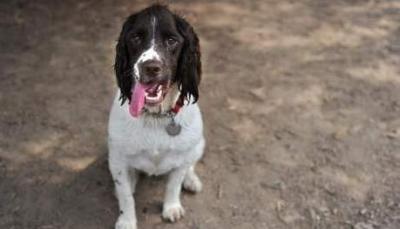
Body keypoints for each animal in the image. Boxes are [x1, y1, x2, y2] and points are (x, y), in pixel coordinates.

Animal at [108, 4, 205, 229]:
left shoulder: (182, 155)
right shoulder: (117, 159)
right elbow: (126, 195)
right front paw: (127, 221)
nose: (150, 67)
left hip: (198, 144)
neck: (155, 116)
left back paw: (192, 180)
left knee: (190, 164)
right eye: (135, 38)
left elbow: (173, 185)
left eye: (172, 40)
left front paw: (171, 207)